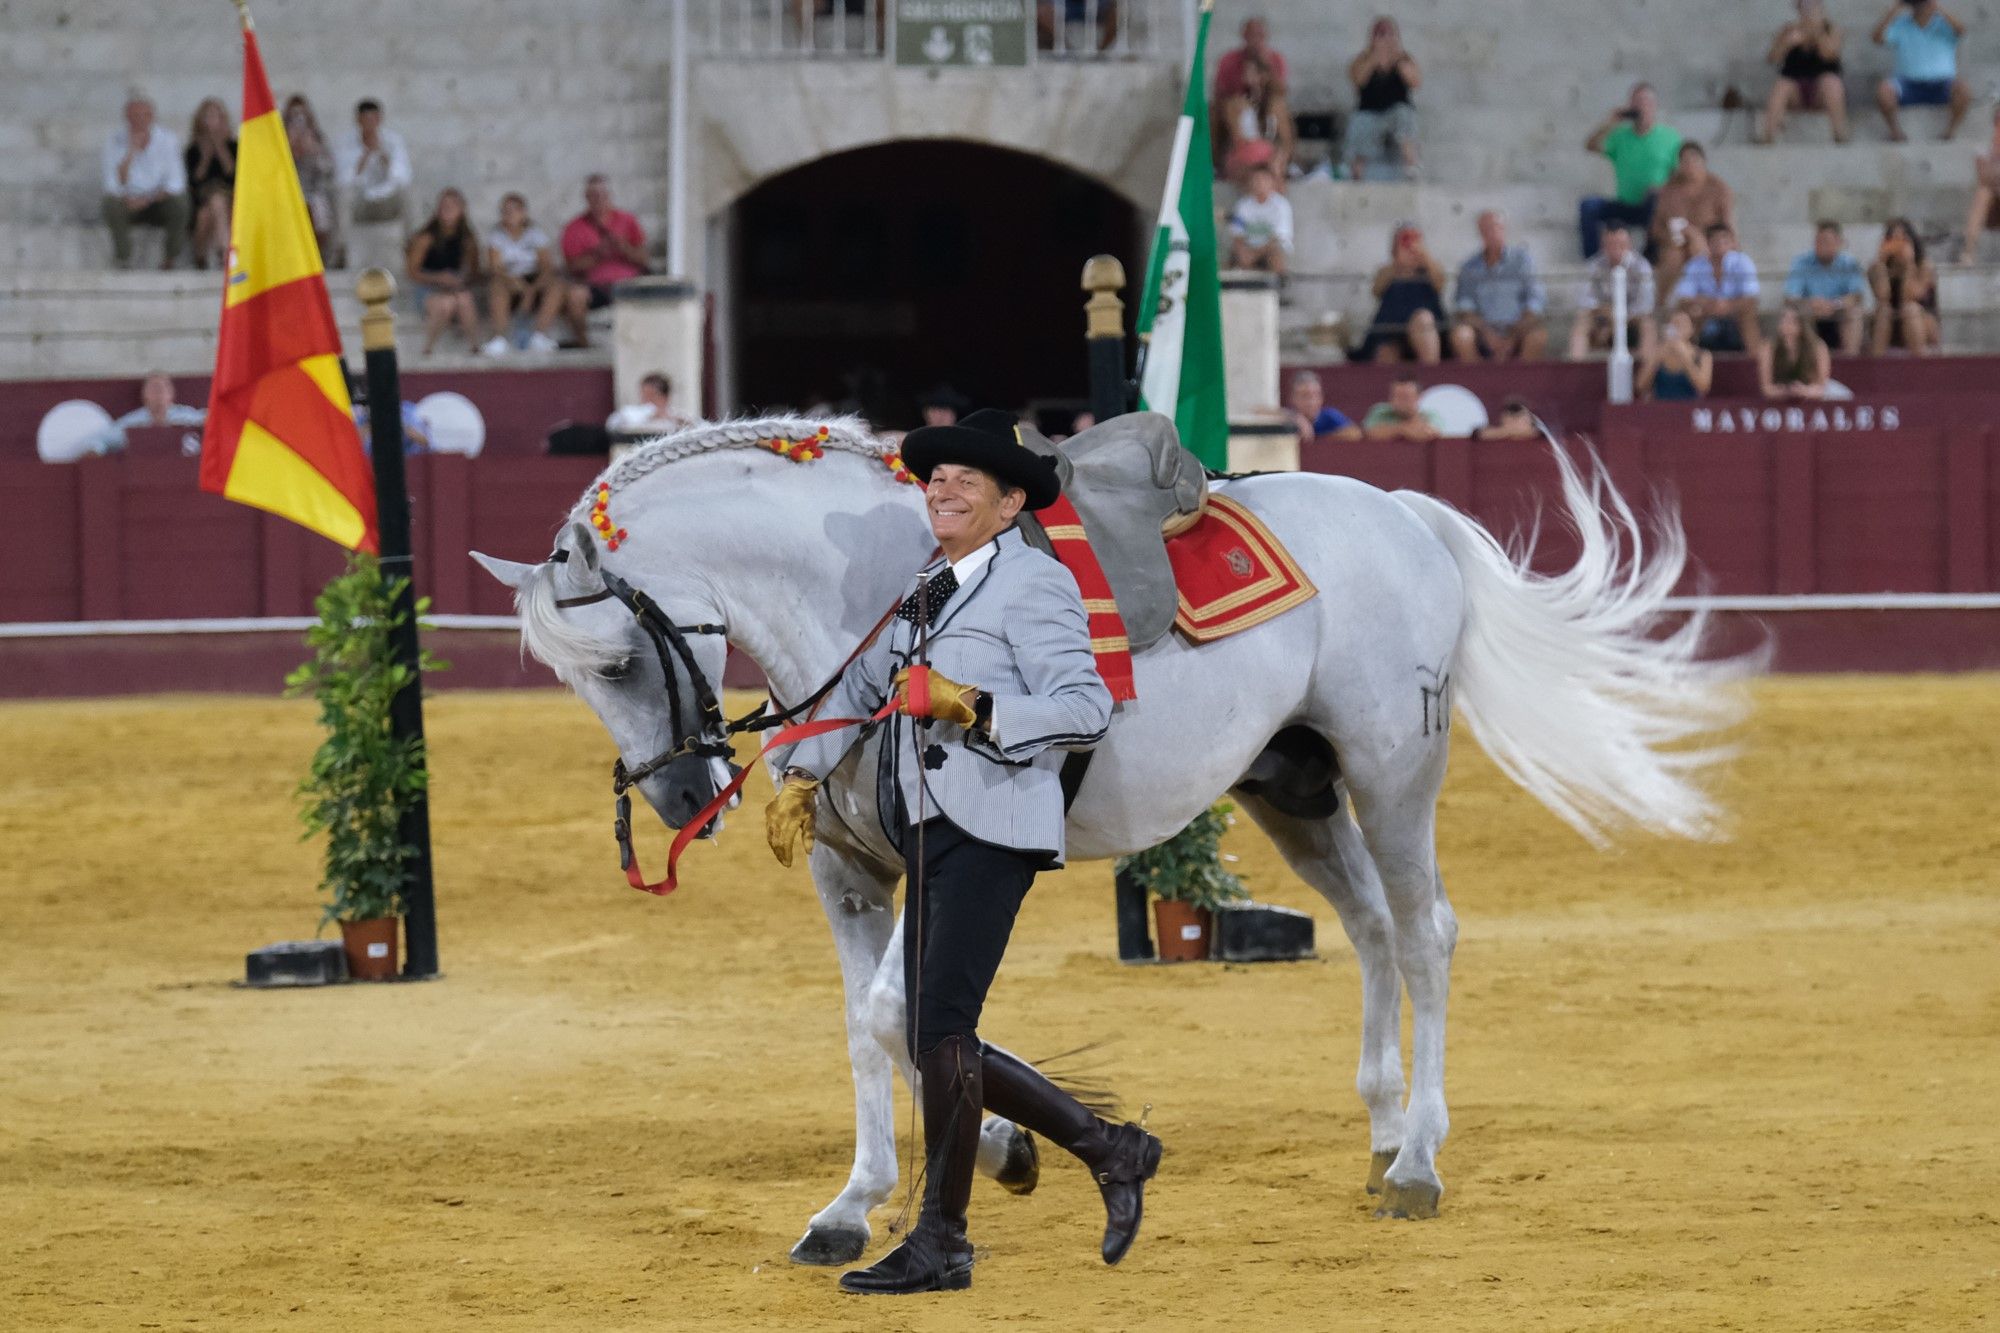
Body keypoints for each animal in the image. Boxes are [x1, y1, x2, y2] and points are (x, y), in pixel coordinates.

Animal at [472, 410, 1752, 1264]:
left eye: (619, 662)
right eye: (571, 677)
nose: (679, 797)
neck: (872, 607)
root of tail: (1402, 514)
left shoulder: (943, 860)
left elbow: (899, 1016)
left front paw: (981, 1155)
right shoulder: (851, 874)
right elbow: (873, 1029)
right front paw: (867, 1196)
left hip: (1394, 769)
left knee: (1427, 930)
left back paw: (1421, 1164)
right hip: (1291, 789)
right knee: (1372, 928)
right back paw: (1383, 1132)